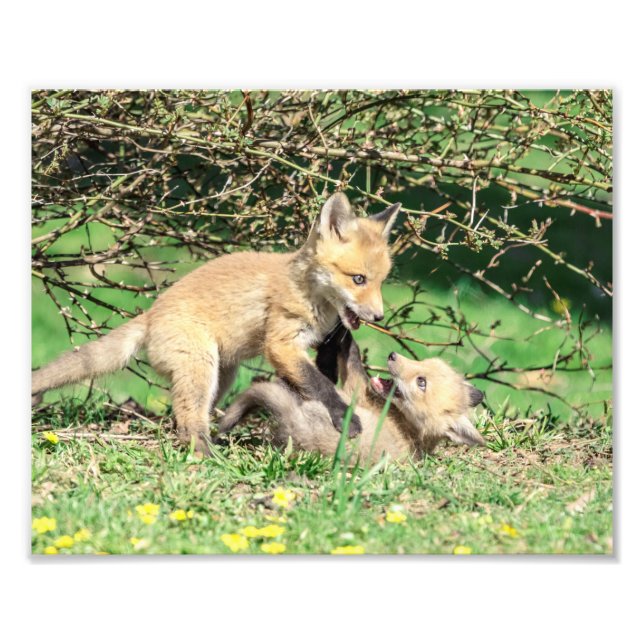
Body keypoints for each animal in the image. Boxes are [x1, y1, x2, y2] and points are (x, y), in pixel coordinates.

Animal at [31, 193, 400, 453]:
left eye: (381, 282)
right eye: (358, 279)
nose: (379, 317)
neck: (310, 294)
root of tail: (151, 314)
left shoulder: (317, 343)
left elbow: (316, 378)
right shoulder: (280, 343)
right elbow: (319, 384)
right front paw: (344, 417)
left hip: (221, 375)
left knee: (184, 416)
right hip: (200, 367)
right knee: (187, 420)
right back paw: (205, 452)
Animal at [218, 328, 486, 462]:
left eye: (422, 382)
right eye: (423, 363)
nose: (392, 356)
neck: (411, 430)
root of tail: (295, 424)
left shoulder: (357, 390)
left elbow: (353, 357)